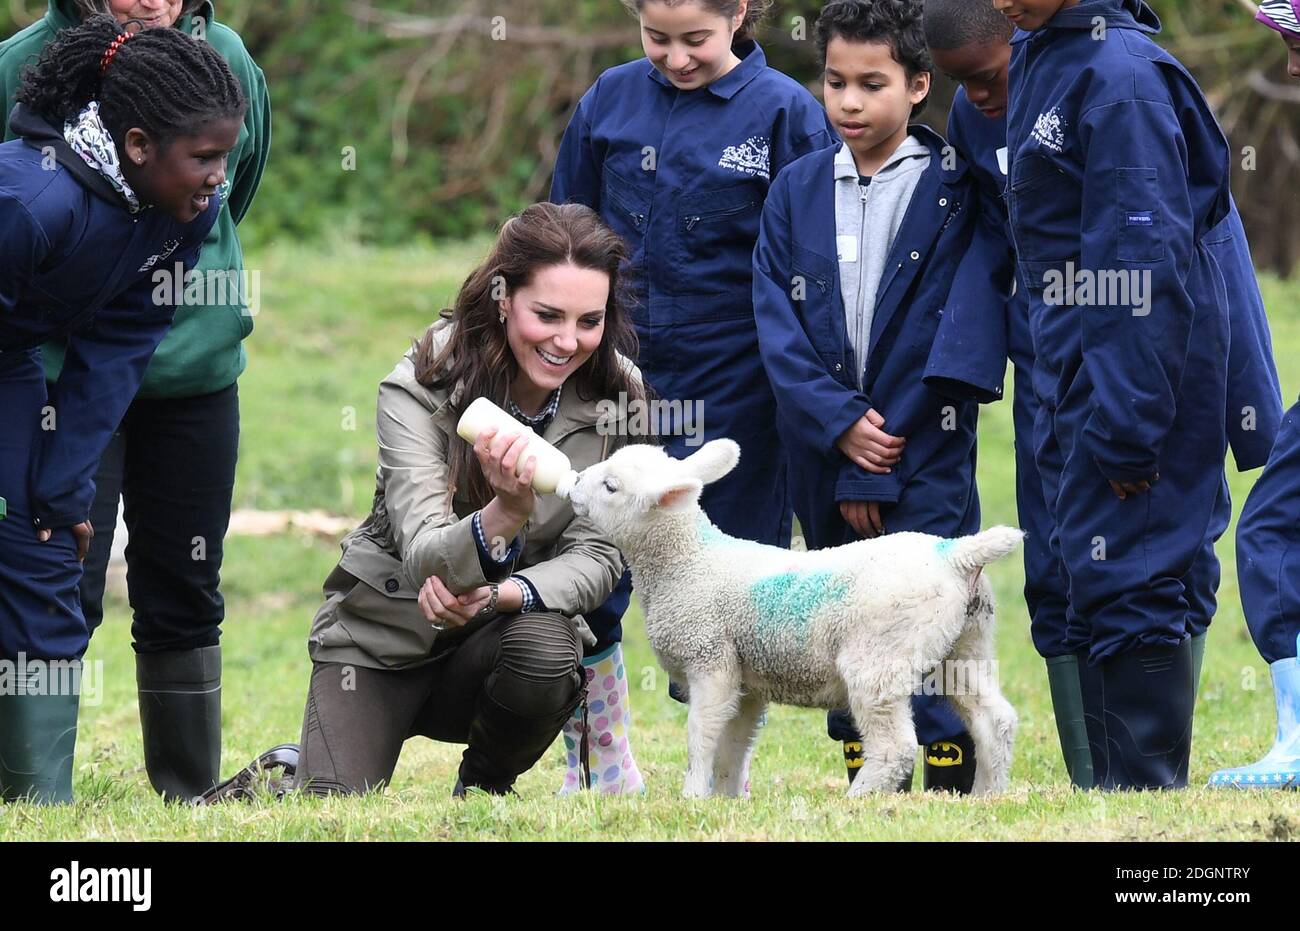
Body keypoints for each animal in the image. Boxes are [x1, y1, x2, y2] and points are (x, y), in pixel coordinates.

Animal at [559, 439, 1024, 795]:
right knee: (994, 720)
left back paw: (856, 800)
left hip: (879, 656)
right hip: (964, 643)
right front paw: (725, 799)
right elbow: (733, 746)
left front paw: (692, 796)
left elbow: (701, 737)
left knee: (896, 745)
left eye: (611, 486)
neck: (689, 561)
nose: (575, 482)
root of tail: (955, 554)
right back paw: (987, 796)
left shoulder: (710, 660)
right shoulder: (745, 680)